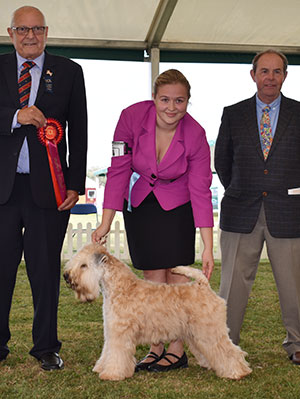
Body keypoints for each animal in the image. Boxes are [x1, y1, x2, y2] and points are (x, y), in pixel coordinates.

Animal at [63, 244, 251, 382]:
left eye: (84, 265)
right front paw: (101, 367)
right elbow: (107, 352)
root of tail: (202, 284)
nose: (66, 276)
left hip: (209, 331)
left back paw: (237, 372)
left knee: (230, 351)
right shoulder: (111, 330)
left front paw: (112, 374)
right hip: (196, 334)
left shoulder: (120, 334)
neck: (120, 288)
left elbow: (116, 355)